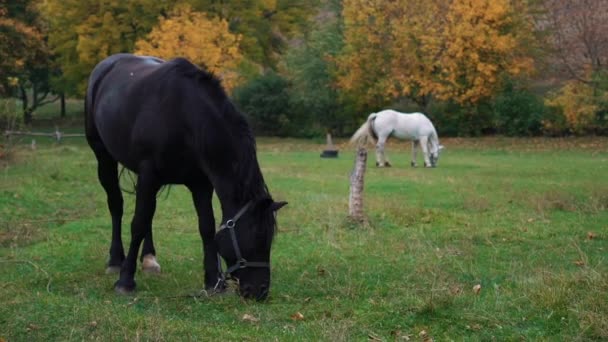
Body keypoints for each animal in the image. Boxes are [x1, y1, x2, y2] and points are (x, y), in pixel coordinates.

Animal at [84, 52, 288, 300]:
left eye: (269, 240)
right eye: (255, 236)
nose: (259, 291)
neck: (184, 116)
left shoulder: (200, 184)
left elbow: (206, 227)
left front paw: (213, 281)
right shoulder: (149, 175)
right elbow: (138, 223)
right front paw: (125, 280)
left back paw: (149, 259)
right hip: (104, 157)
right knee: (117, 205)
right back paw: (115, 261)